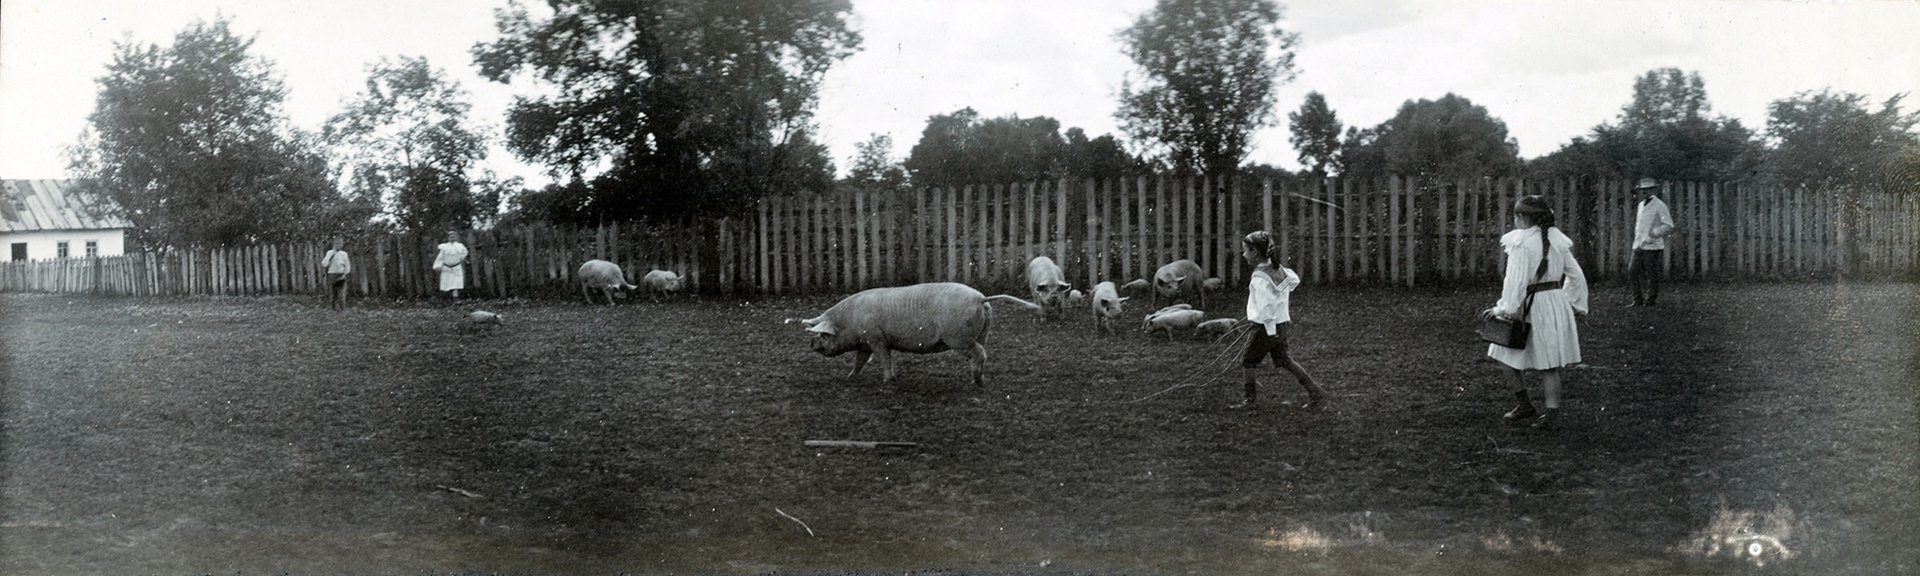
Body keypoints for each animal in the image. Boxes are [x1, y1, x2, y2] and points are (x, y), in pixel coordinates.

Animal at [791, 282, 1036, 387]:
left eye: (823, 335)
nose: (810, 343)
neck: (848, 322)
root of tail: (979, 298)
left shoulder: (877, 339)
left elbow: (884, 358)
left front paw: (888, 381)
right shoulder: (866, 342)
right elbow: (860, 361)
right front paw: (850, 378)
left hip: (958, 337)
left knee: (979, 354)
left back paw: (976, 383)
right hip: (982, 332)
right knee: (984, 352)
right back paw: (977, 378)